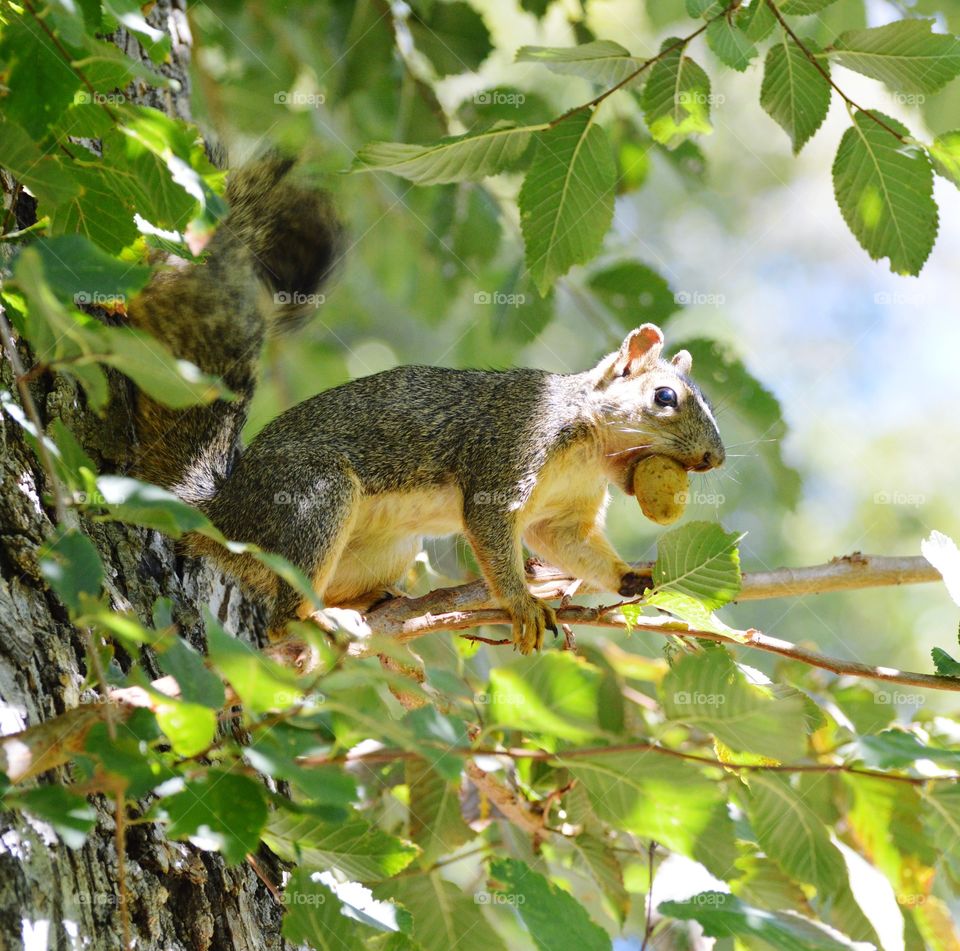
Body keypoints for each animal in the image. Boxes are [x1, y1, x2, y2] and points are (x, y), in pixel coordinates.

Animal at [128, 157, 725, 654]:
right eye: (665, 397)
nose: (715, 458)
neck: (587, 448)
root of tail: (222, 514)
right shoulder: (511, 448)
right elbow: (491, 530)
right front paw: (521, 603)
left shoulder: (567, 514)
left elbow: (568, 544)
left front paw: (633, 578)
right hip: (311, 499)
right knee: (280, 612)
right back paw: (316, 619)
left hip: (381, 548)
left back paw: (372, 604)